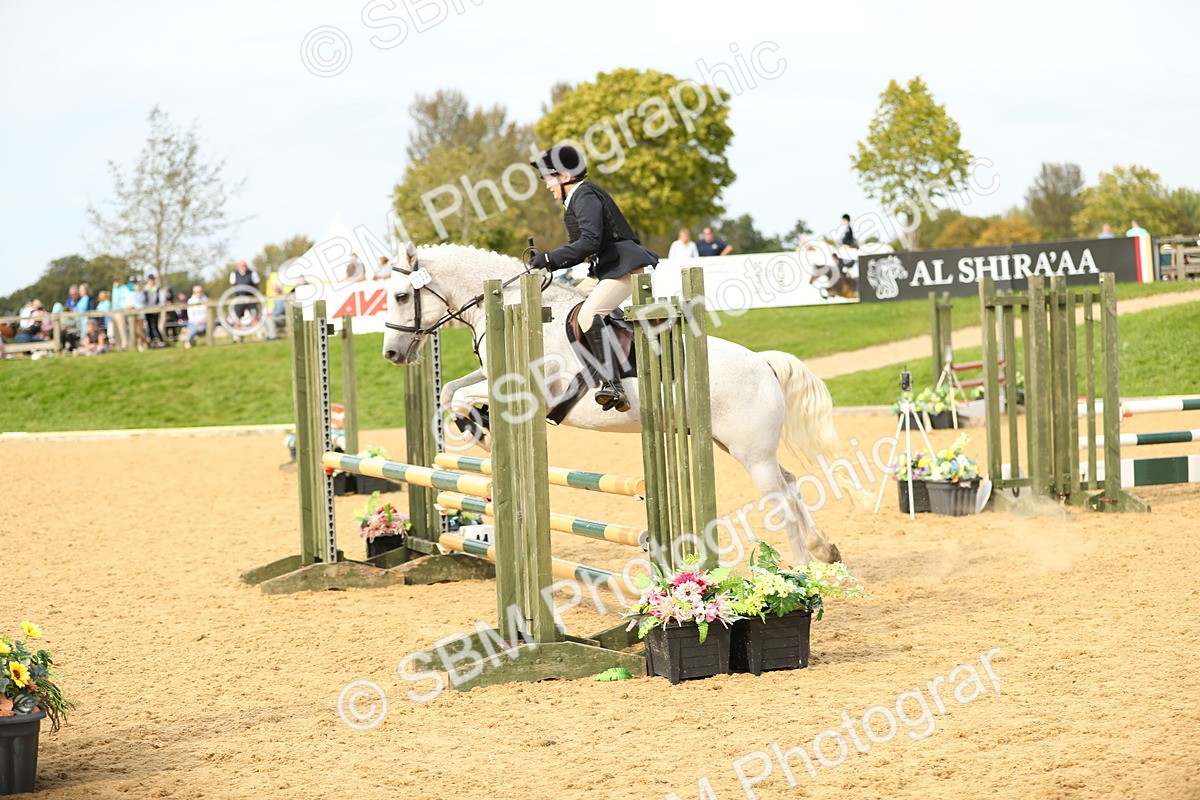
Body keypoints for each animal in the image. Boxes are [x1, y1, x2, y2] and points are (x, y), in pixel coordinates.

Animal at [381, 241, 846, 565]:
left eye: (402, 296)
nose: (391, 353)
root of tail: (764, 364)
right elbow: (450, 391)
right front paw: (478, 429)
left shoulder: (533, 393)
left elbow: (461, 396)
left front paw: (480, 430)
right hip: (732, 445)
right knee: (791, 483)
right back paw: (824, 550)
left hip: (752, 453)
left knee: (782, 502)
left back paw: (799, 570)